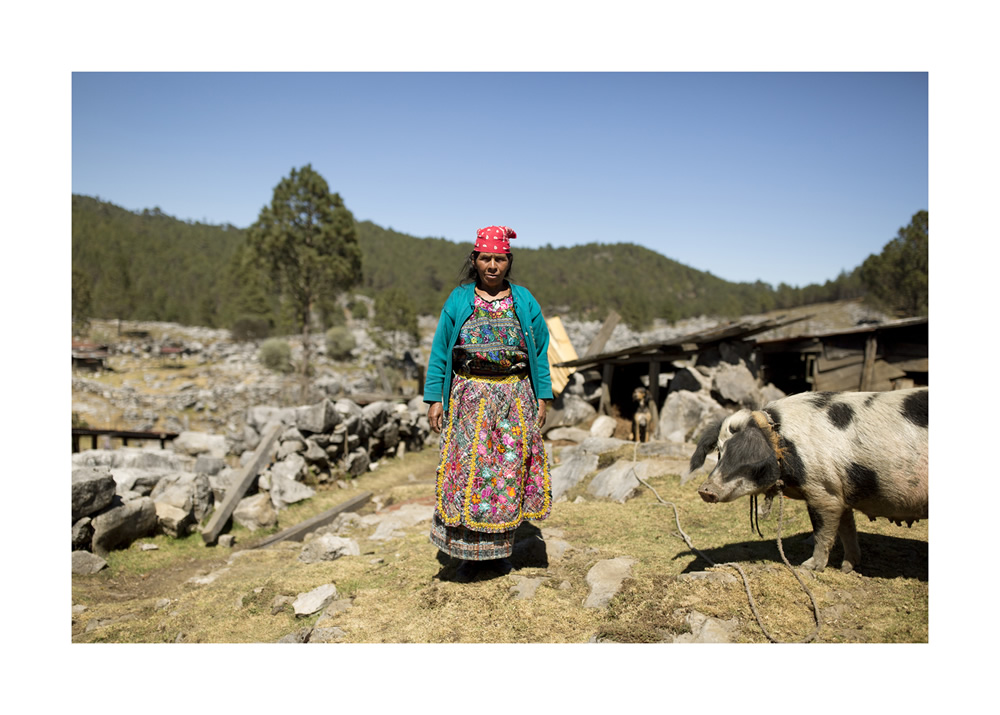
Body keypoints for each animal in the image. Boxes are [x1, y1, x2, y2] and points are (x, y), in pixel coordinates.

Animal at [688, 388, 928, 572]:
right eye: (719, 452)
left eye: (741, 456)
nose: (704, 490)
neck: (783, 445)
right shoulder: (839, 492)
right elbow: (847, 529)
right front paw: (847, 568)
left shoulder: (822, 490)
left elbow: (823, 531)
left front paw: (808, 567)